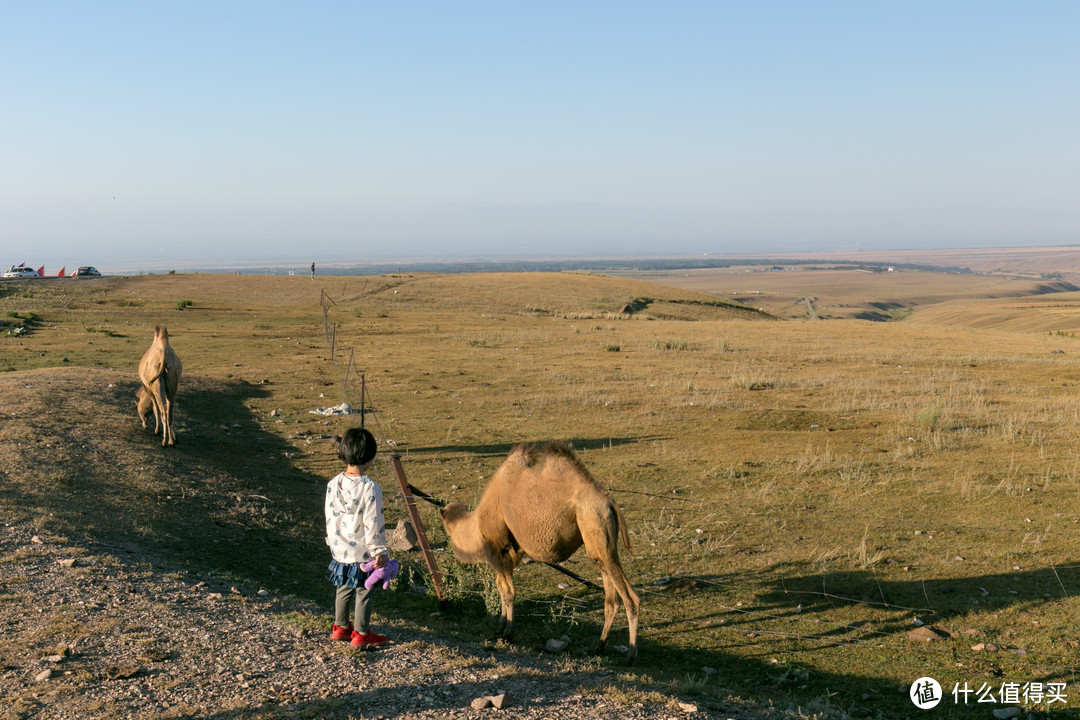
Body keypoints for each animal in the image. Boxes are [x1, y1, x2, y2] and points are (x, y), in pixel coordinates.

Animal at [438, 442, 639, 669]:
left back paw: (630, 656)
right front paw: (499, 627)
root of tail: (609, 501)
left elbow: (508, 592)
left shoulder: (499, 549)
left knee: (631, 599)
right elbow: (501, 588)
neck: (476, 526)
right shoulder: (507, 555)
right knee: (611, 600)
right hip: (600, 545)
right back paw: (598, 647)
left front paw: (508, 633)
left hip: (596, 525)